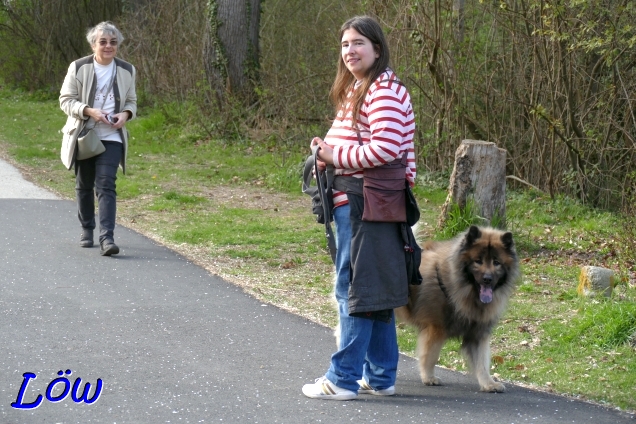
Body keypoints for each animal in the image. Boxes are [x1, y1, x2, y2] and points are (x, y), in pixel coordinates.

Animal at [398, 227, 520, 392]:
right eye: (478, 261)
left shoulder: (478, 332)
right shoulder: (435, 329)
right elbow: (430, 356)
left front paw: (488, 384)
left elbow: (482, 362)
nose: (487, 279)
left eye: (496, 263)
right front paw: (429, 377)